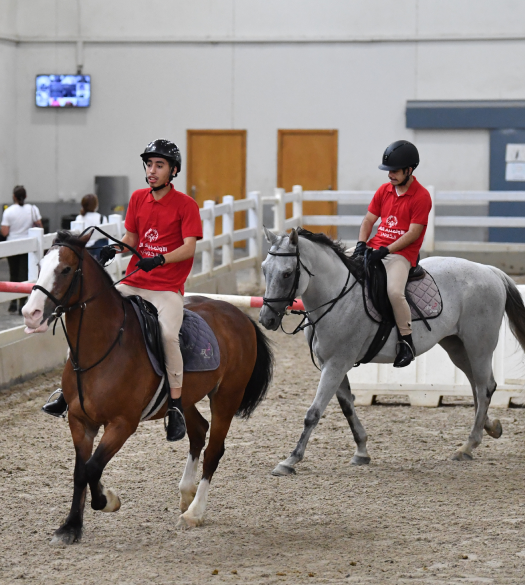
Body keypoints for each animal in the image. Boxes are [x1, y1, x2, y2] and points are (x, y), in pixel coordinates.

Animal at [22, 232, 272, 544]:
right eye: (39, 265)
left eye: (66, 269)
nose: (30, 314)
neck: (102, 348)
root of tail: (238, 315)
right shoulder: (80, 422)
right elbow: (81, 471)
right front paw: (71, 527)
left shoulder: (122, 424)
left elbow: (92, 467)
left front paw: (106, 500)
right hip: (185, 400)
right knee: (197, 432)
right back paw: (186, 493)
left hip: (226, 397)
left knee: (214, 450)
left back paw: (194, 512)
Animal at [258, 227, 524, 474]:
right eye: (264, 269)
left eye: (287, 273)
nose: (266, 319)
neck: (336, 297)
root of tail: (489, 270)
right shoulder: (332, 365)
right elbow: (347, 407)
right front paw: (362, 451)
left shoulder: (336, 364)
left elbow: (313, 412)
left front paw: (290, 460)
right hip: (456, 346)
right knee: (478, 386)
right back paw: (491, 428)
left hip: (479, 346)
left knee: (484, 388)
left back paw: (468, 446)